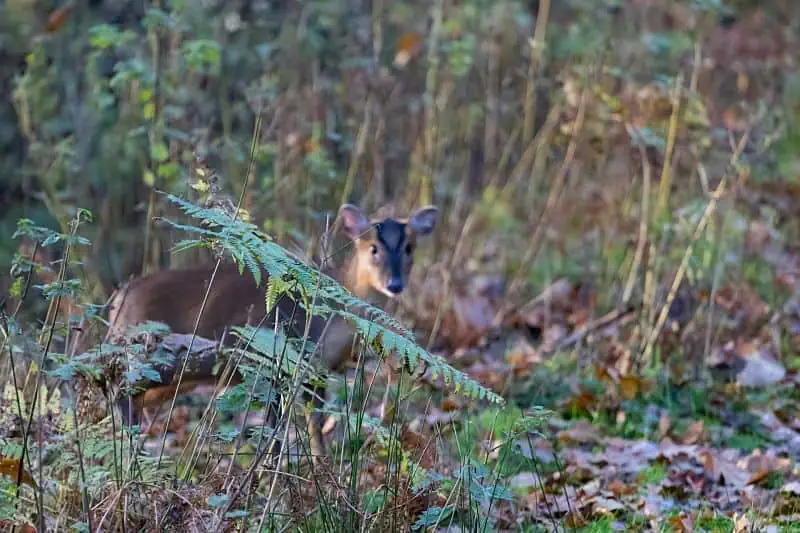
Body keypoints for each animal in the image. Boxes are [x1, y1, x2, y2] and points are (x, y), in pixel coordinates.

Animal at [101, 203, 438, 458]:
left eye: (409, 248)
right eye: (373, 249)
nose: (395, 284)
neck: (330, 320)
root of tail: (119, 301)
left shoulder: (316, 372)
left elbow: (314, 425)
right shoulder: (281, 362)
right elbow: (277, 432)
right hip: (144, 357)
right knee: (119, 394)